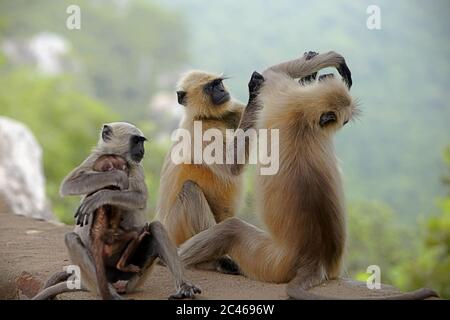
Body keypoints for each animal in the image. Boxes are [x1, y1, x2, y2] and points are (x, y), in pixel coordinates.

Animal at [35, 122, 202, 300]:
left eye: (141, 141)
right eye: (136, 141)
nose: (142, 150)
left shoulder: (136, 166)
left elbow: (140, 197)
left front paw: (101, 195)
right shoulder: (95, 158)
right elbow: (69, 184)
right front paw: (116, 177)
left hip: (136, 275)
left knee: (156, 227)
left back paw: (183, 286)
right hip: (97, 273)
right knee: (71, 239)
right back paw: (110, 293)